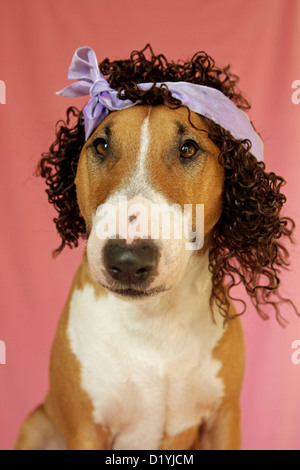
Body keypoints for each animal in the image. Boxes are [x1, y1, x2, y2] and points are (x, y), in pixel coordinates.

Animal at [14, 46, 296, 450]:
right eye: (101, 145)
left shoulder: (224, 418)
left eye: (189, 148)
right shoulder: (86, 429)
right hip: (37, 425)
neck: (155, 318)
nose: (128, 260)